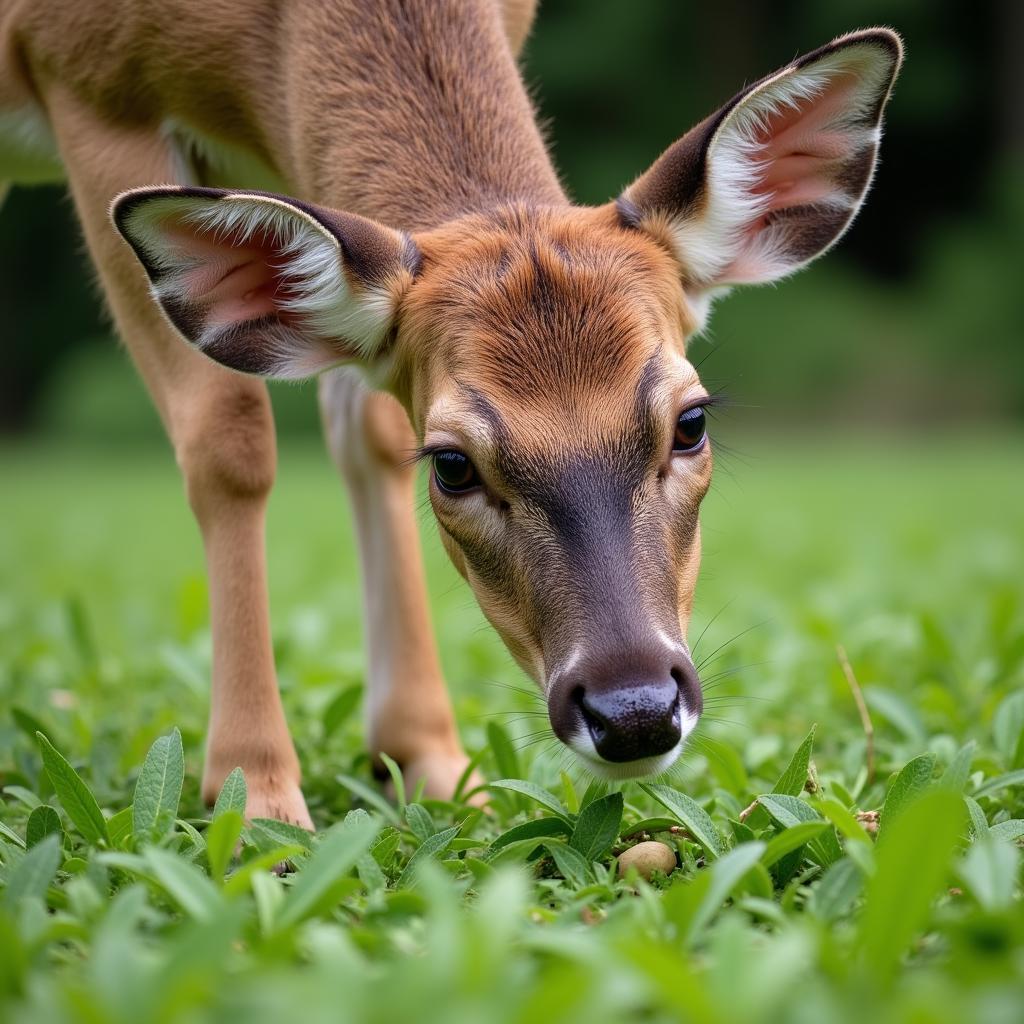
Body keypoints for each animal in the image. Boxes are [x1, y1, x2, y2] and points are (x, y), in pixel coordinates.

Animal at [0, 0, 901, 827]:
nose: (635, 711)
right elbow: (228, 433)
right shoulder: (87, 85)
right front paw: (257, 799)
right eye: (453, 464)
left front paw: (431, 762)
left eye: (692, 421)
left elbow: (363, 422)